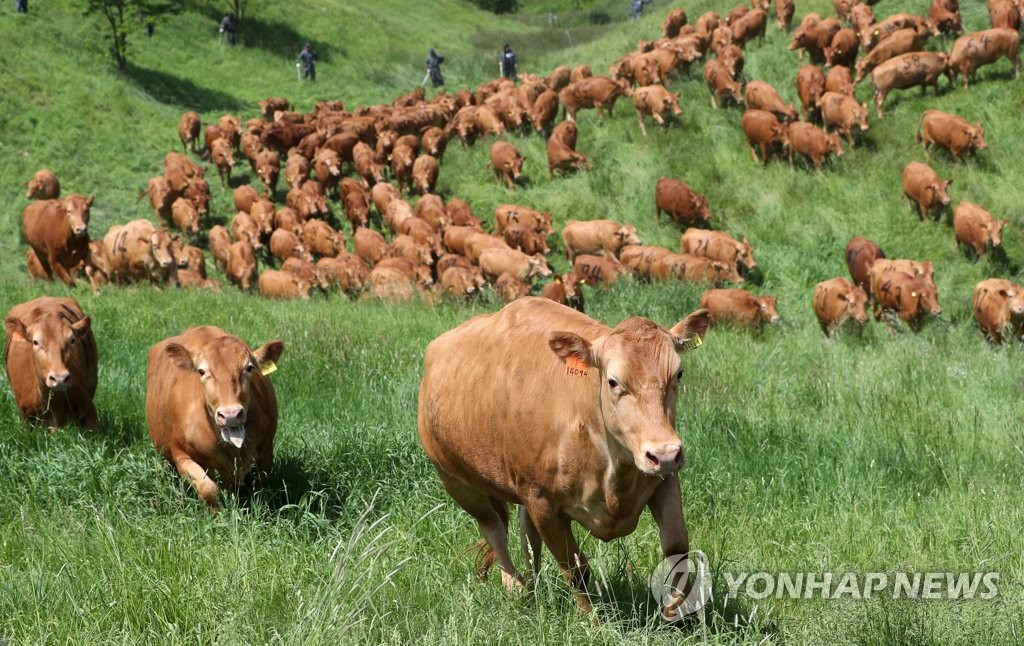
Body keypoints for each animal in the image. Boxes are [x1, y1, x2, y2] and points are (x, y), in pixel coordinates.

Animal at [145, 327, 284, 509]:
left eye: (249, 367)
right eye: (201, 371)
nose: (231, 415)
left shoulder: (267, 449)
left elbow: (261, 486)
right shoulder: (180, 453)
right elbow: (208, 489)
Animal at [417, 294, 712, 614]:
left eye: (678, 374)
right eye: (613, 381)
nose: (665, 453)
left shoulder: (663, 479)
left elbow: (676, 548)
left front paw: (678, 612)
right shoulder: (543, 502)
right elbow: (575, 569)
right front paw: (592, 619)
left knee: (527, 535)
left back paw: (533, 586)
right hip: (456, 482)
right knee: (493, 528)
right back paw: (515, 587)